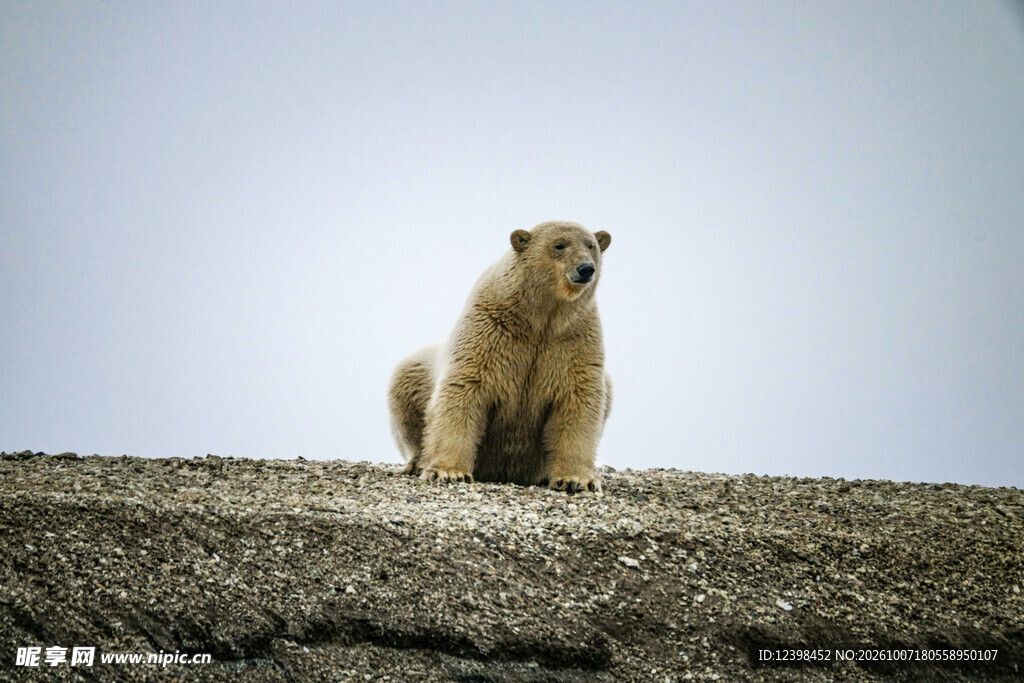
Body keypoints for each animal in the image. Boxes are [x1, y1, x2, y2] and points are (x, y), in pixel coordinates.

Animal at [388, 220, 612, 492]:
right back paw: (415, 463)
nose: (586, 269)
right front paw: (449, 471)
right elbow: (463, 390)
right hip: (416, 371)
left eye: (591, 246)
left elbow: (578, 399)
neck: (538, 321)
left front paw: (576, 479)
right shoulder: (489, 331)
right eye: (559, 245)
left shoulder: (572, 339)